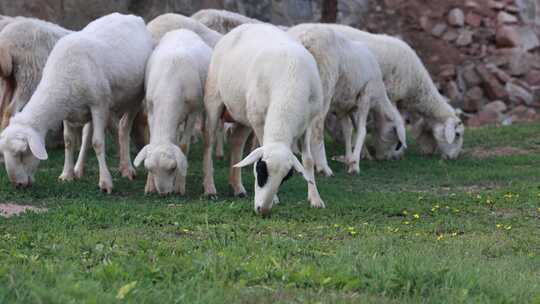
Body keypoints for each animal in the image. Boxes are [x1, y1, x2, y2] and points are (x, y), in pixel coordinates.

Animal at [0, 13, 154, 192]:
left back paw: (127, 168)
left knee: (123, 128)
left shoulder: (99, 105)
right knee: (89, 133)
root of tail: (132, 17)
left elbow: (98, 142)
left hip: (134, 97)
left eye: (22, 153)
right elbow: (69, 140)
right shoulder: (67, 111)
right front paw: (67, 174)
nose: (18, 185)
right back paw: (79, 169)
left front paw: (105, 182)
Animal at [134, 28, 212, 195]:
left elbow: (183, 147)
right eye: (149, 168)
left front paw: (179, 186)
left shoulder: (192, 112)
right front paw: (149, 186)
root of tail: (182, 29)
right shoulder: (151, 110)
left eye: (172, 168)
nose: (163, 193)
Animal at [202, 23, 324, 214]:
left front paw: (315, 199)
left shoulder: (308, 123)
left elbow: (308, 161)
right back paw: (210, 189)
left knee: (237, 142)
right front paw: (275, 199)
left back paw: (237, 188)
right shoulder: (259, 120)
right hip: (214, 99)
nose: (263, 210)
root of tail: (244, 26)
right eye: (260, 170)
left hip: (244, 113)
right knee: (209, 142)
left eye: (285, 177)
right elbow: (260, 144)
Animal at [286, 24, 404, 175]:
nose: (390, 158)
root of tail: (305, 39)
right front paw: (354, 164)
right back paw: (323, 166)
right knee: (317, 125)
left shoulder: (344, 107)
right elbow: (362, 130)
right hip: (325, 83)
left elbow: (348, 130)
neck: (380, 96)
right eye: (395, 140)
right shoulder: (366, 95)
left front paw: (349, 158)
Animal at [322, 23, 466, 159]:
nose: (453, 157)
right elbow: (387, 124)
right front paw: (383, 151)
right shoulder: (390, 96)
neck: (416, 84)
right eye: (457, 134)